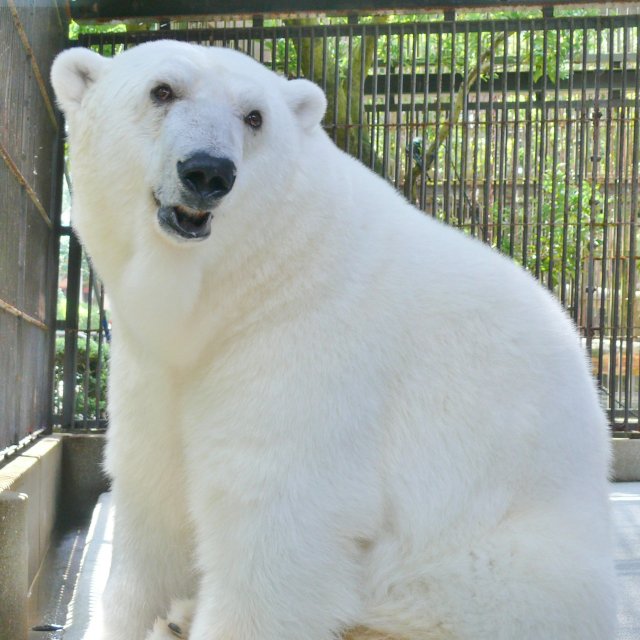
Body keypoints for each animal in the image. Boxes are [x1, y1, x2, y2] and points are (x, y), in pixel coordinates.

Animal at [51, 41, 616, 640]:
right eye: (162, 90)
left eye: (255, 116)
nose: (208, 171)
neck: (240, 287)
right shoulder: (152, 361)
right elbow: (151, 485)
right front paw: (148, 613)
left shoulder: (309, 346)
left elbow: (272, 517)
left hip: (496, 567)